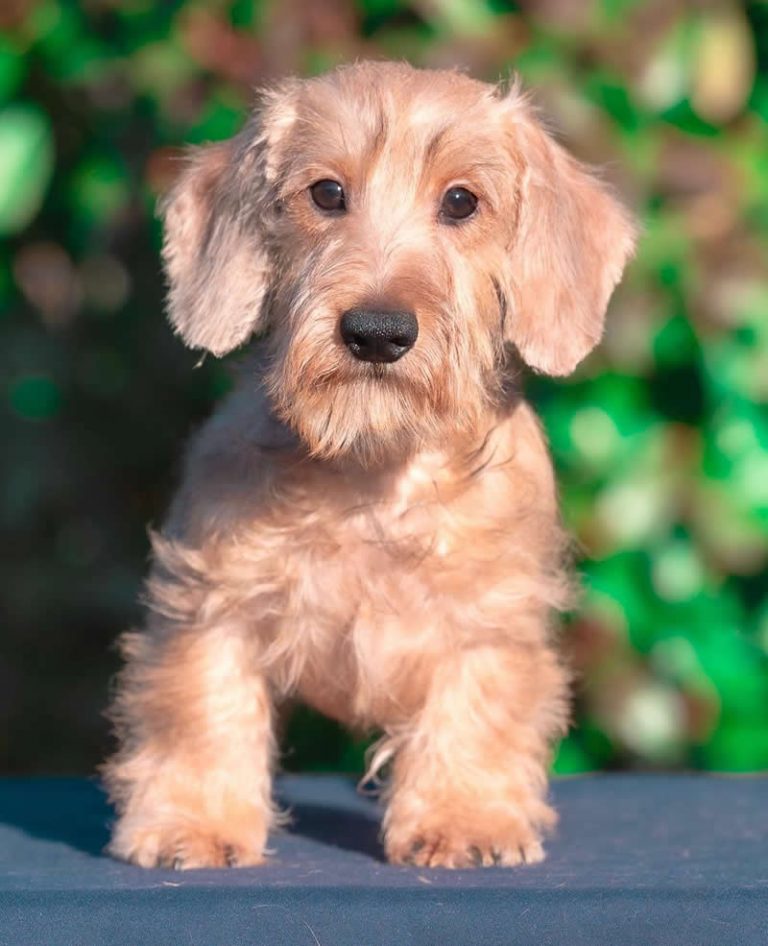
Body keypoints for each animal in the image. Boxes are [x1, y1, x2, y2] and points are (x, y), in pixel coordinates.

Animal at [103, 60, 636, 872]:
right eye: (326, 193)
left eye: (461, 201)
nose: (377, 331)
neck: (371, 467)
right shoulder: (212, 602)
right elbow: (202, 704)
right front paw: (193, 820)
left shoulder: (488, 617)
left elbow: (475, 706)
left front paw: (464, 817)